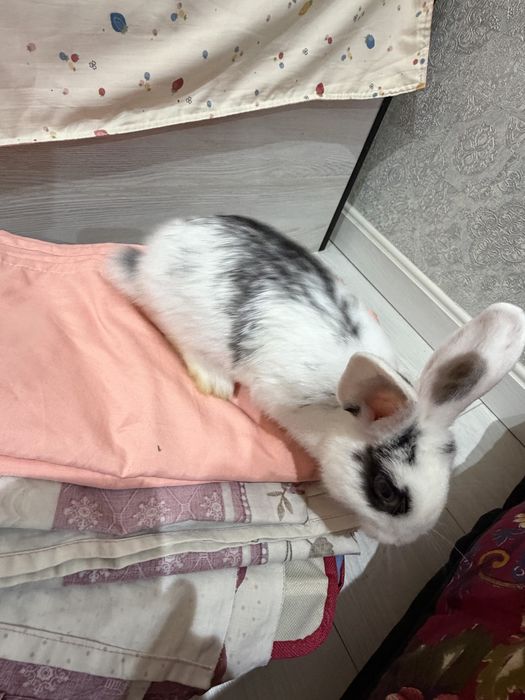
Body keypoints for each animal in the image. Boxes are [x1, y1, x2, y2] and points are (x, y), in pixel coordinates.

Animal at [105, 215, 525, 546]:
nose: (407, 539)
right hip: (184, 319)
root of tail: (155, 249)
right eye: (385, 491)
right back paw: (215, 382)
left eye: (450, 471)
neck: (333, 409)